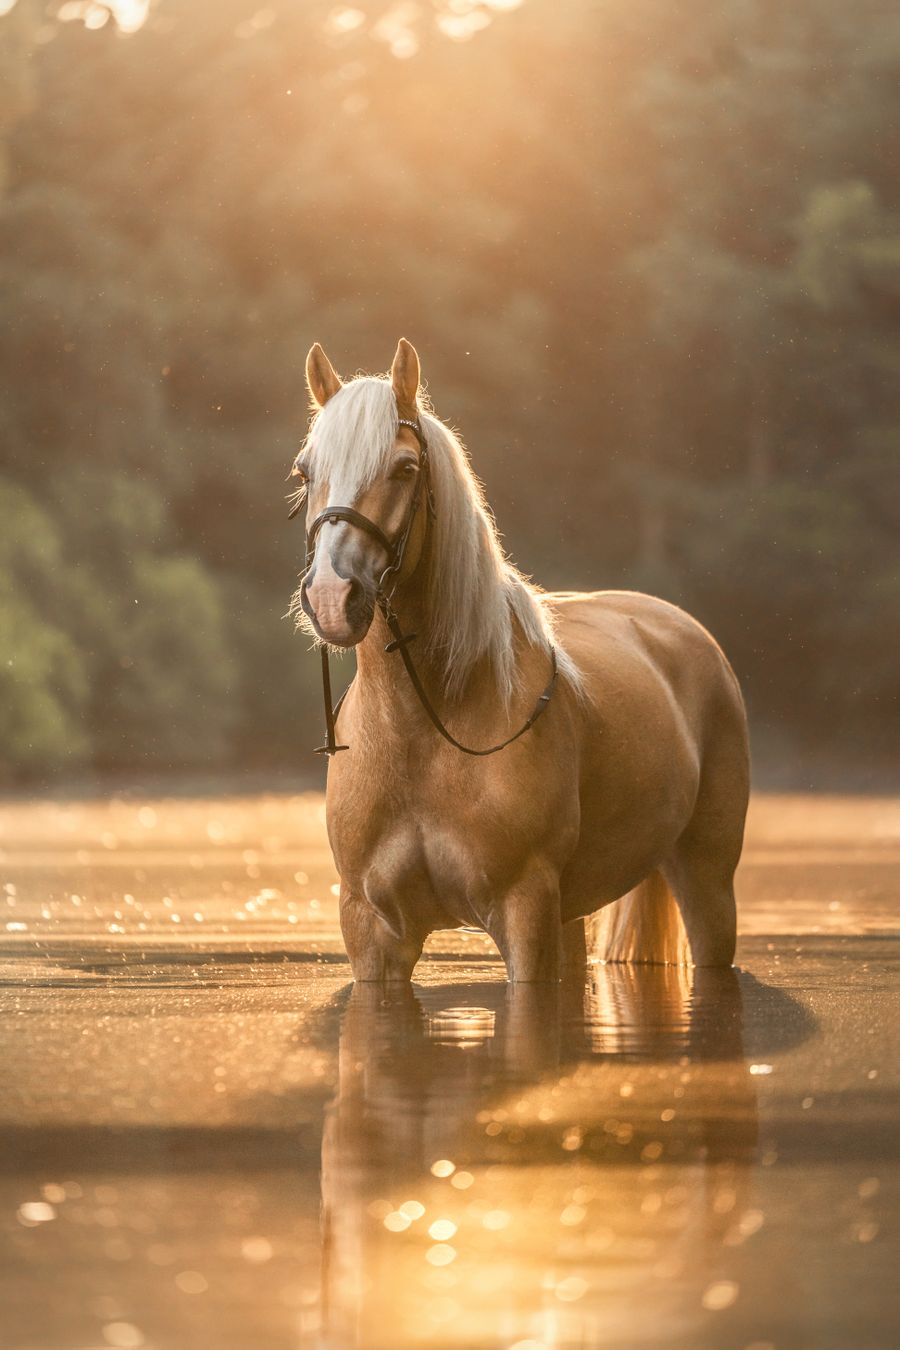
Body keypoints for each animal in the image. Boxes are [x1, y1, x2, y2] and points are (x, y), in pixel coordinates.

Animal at [290, 339, 750, 983]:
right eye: (305, 472)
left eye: (404, 469)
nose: (333, 596)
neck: (424, 731)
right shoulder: (371, 932)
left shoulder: (523, 910)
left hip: (707, 881)